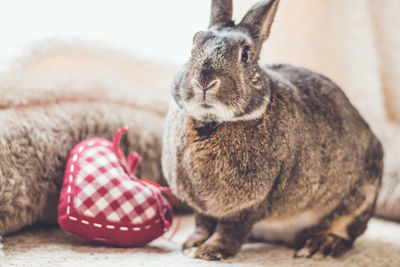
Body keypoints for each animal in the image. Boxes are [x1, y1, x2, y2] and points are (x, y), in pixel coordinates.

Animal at [162, 0, 384, 260]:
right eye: (193, 44)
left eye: (245, 54)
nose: (204, 82)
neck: (211, 122)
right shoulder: (203, 207)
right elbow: (202, 223)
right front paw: (191, 244)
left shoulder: (251, 203)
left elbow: (230, 229)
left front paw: (209, 251)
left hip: (358, 201)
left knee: (346, 232)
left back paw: (319, 246)